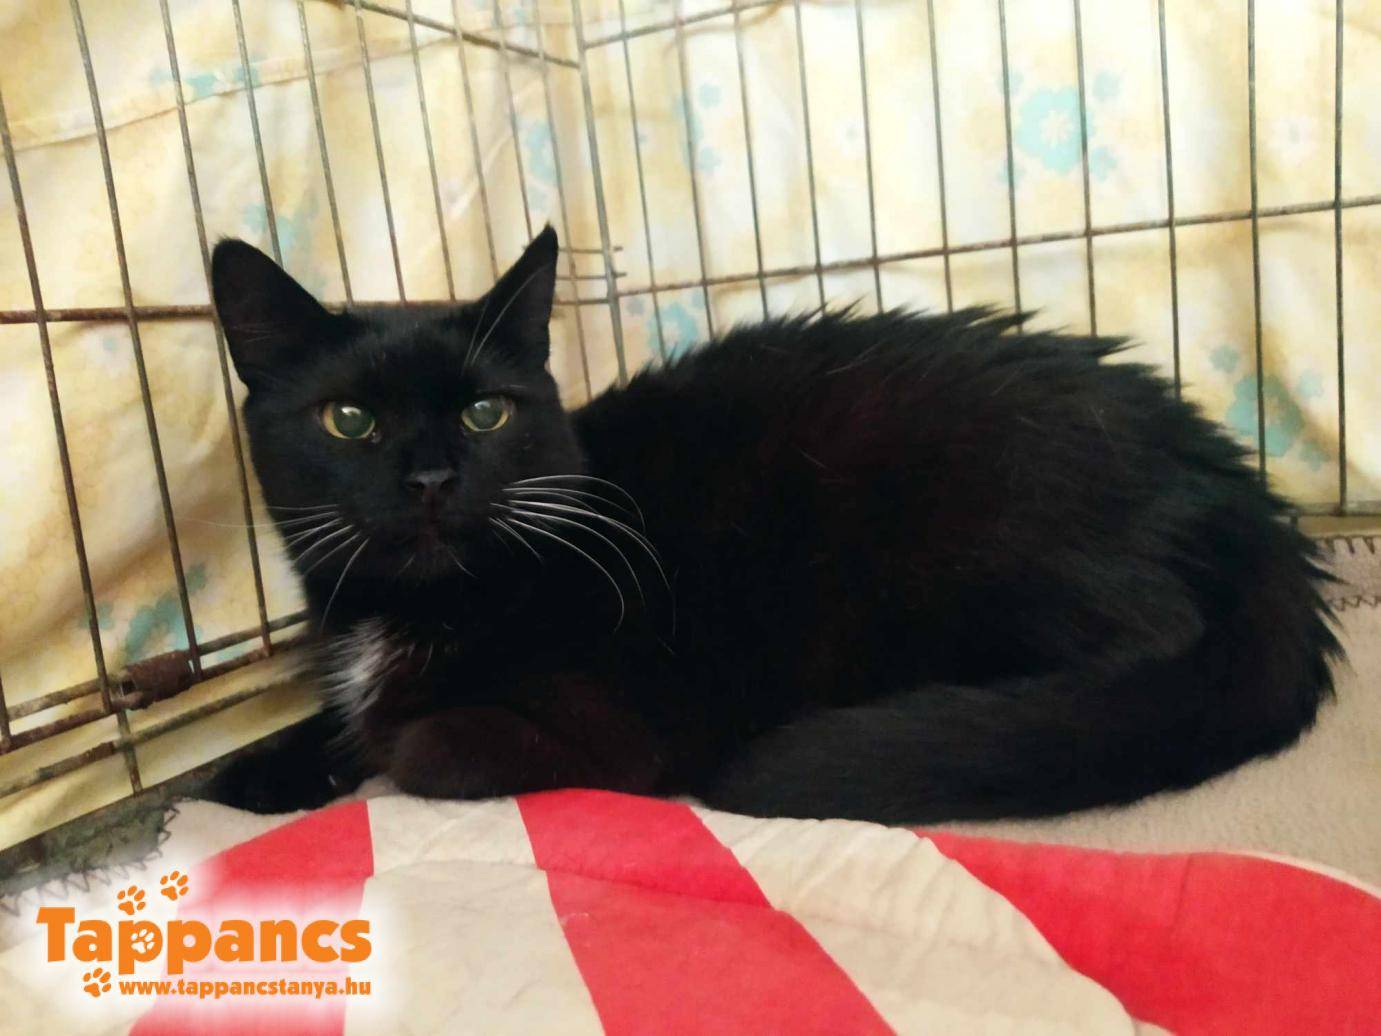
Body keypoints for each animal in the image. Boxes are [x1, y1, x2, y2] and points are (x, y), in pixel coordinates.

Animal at [205, 225, 1339, 822]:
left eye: (487, 411)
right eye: (347, 421)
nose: (433, 476)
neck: (415, 607)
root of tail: (1247, 503)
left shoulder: (616, 718)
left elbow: (422, 744)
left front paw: (386, 741)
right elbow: (331, 716)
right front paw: (262, 766)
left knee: (1146, 646)